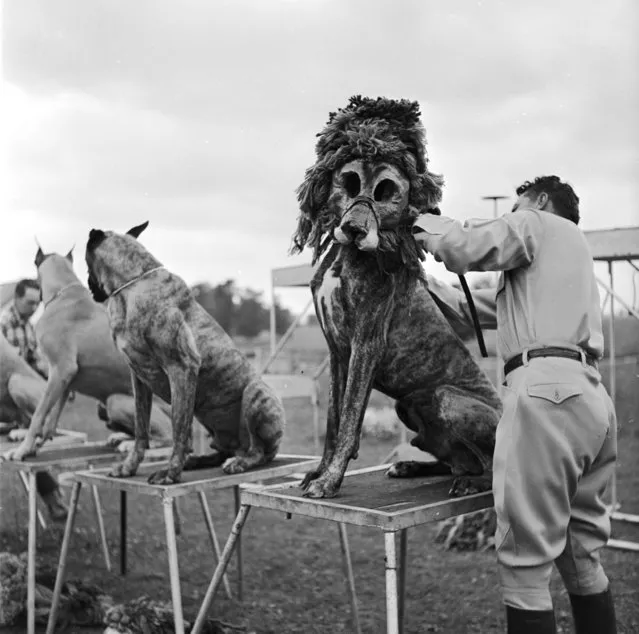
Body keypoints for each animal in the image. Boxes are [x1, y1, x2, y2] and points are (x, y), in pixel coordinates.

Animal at [85, 222, 284, 484]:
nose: (89, 287)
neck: (134, 284)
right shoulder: (139, 379)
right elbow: (141, 430)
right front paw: (129, 466)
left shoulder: (181, 368)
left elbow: (179, 431)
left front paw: (170, 472)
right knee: (223, 451)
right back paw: (198, 460)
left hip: (256, 393)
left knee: (258, 451)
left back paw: (240, 462)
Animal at [292, 96, 504, 496]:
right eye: (349, 183)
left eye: (386, 192)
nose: (354, 229)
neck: (347, 257)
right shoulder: (338, 351)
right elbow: (333, 422)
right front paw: (321, 471)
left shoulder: (365, 345)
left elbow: (349, 421)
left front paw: (330, 479)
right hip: (408, 406)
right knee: (457, 462)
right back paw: (411, 466)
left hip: (444, 398)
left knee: (491, 466)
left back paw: (471, 483)